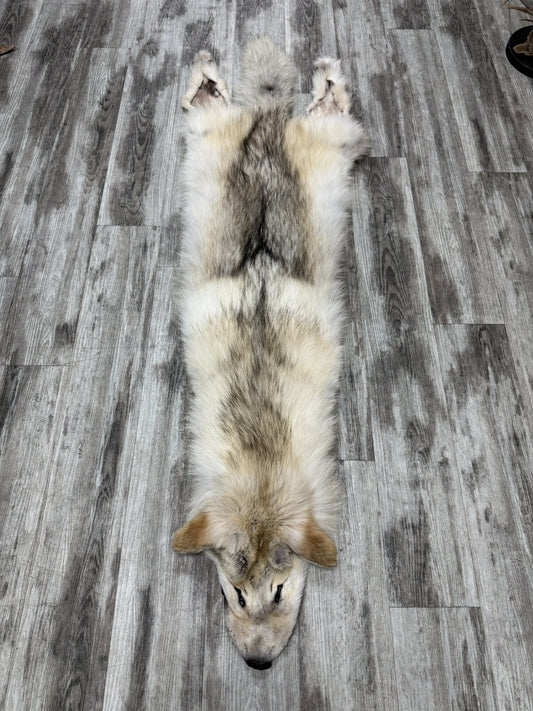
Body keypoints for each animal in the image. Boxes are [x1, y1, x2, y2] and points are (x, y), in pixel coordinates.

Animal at [172, 37, 369, 669]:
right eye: (235, 594)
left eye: (278, 591)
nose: (258, 664)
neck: (259, 468)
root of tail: (267, 119)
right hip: (211, 138)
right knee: (211, 101)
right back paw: (212, 75)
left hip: (327, 144)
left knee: (331, 105)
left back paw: (320, 78)